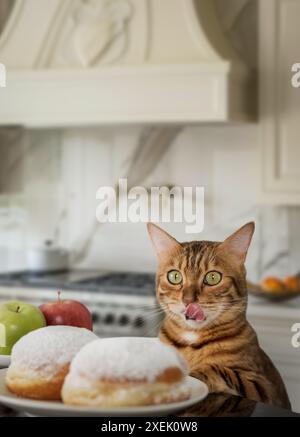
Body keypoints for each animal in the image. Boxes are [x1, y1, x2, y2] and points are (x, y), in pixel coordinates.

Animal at [148, 221, 290, 408]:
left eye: (213, 277)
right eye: (175, 276)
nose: (188, 300)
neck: (192, 339)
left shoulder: (264, 387)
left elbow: (220, 370)